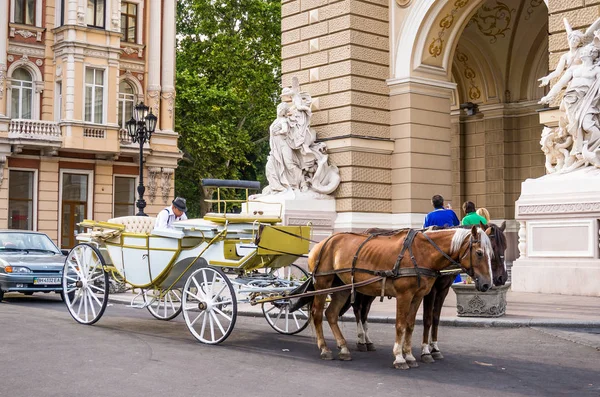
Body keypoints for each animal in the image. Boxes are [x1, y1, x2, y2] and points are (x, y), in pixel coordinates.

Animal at [308, 226, 494, 368]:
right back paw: (324, 348)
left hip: (342, 287)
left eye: (491, 254)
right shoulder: (404, 295)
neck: (422, 253)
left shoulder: (417, 296)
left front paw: (409, 355)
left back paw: (344, 347)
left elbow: (410, 325)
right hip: (323, 284)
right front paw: (399, 357)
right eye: (479, 253)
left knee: (331, 314)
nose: (487, 284)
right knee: (317, 313)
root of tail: (324, 242)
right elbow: (400, 325)